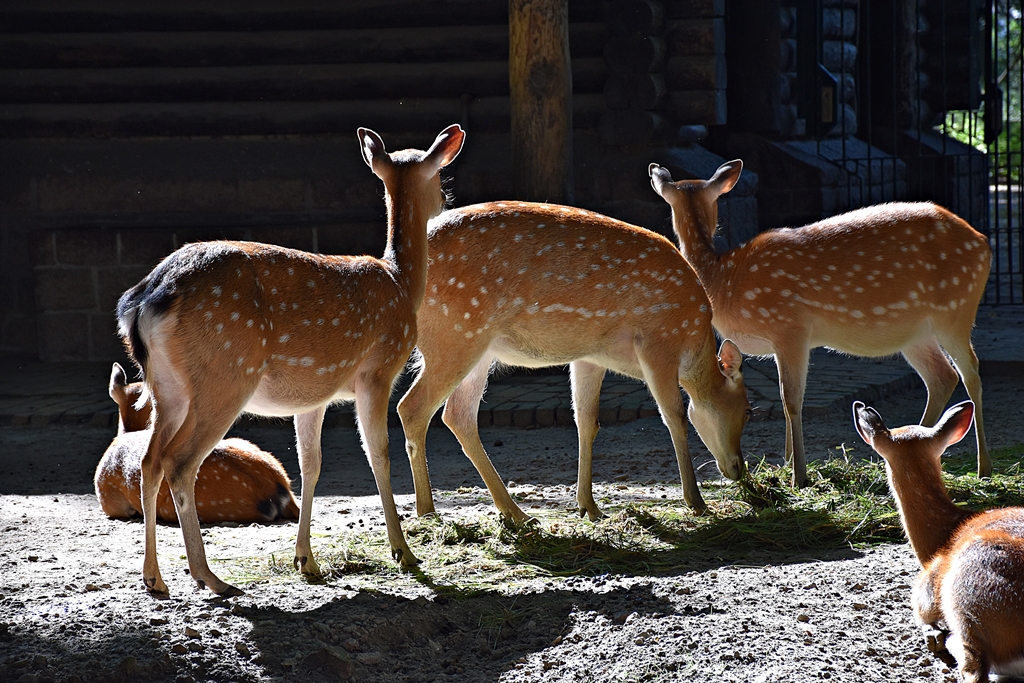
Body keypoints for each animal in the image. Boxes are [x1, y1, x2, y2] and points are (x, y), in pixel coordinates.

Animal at [397, 201, 751, 522]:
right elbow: (675, 415)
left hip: (478, 349)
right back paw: (429, 511)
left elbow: (586, 421)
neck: (692, 340)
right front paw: (696, 502)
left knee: (457, 415)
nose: (738, 468)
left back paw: (514, 512)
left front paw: (589, 506)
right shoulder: (658, 340)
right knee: (412, 407)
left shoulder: (590, 355)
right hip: (458, 336)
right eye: (748, 410)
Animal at [649, 160, 991, 488]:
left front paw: (798, 475)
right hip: (915, 333)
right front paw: (786, 463)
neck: (724, 280)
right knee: (942, 377)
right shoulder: (779, 342)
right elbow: (784, 398)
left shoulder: (789, 327)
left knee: (971, 374)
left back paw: (983, 468)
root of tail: (983, 242)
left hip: (956, 310)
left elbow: (791, 400)